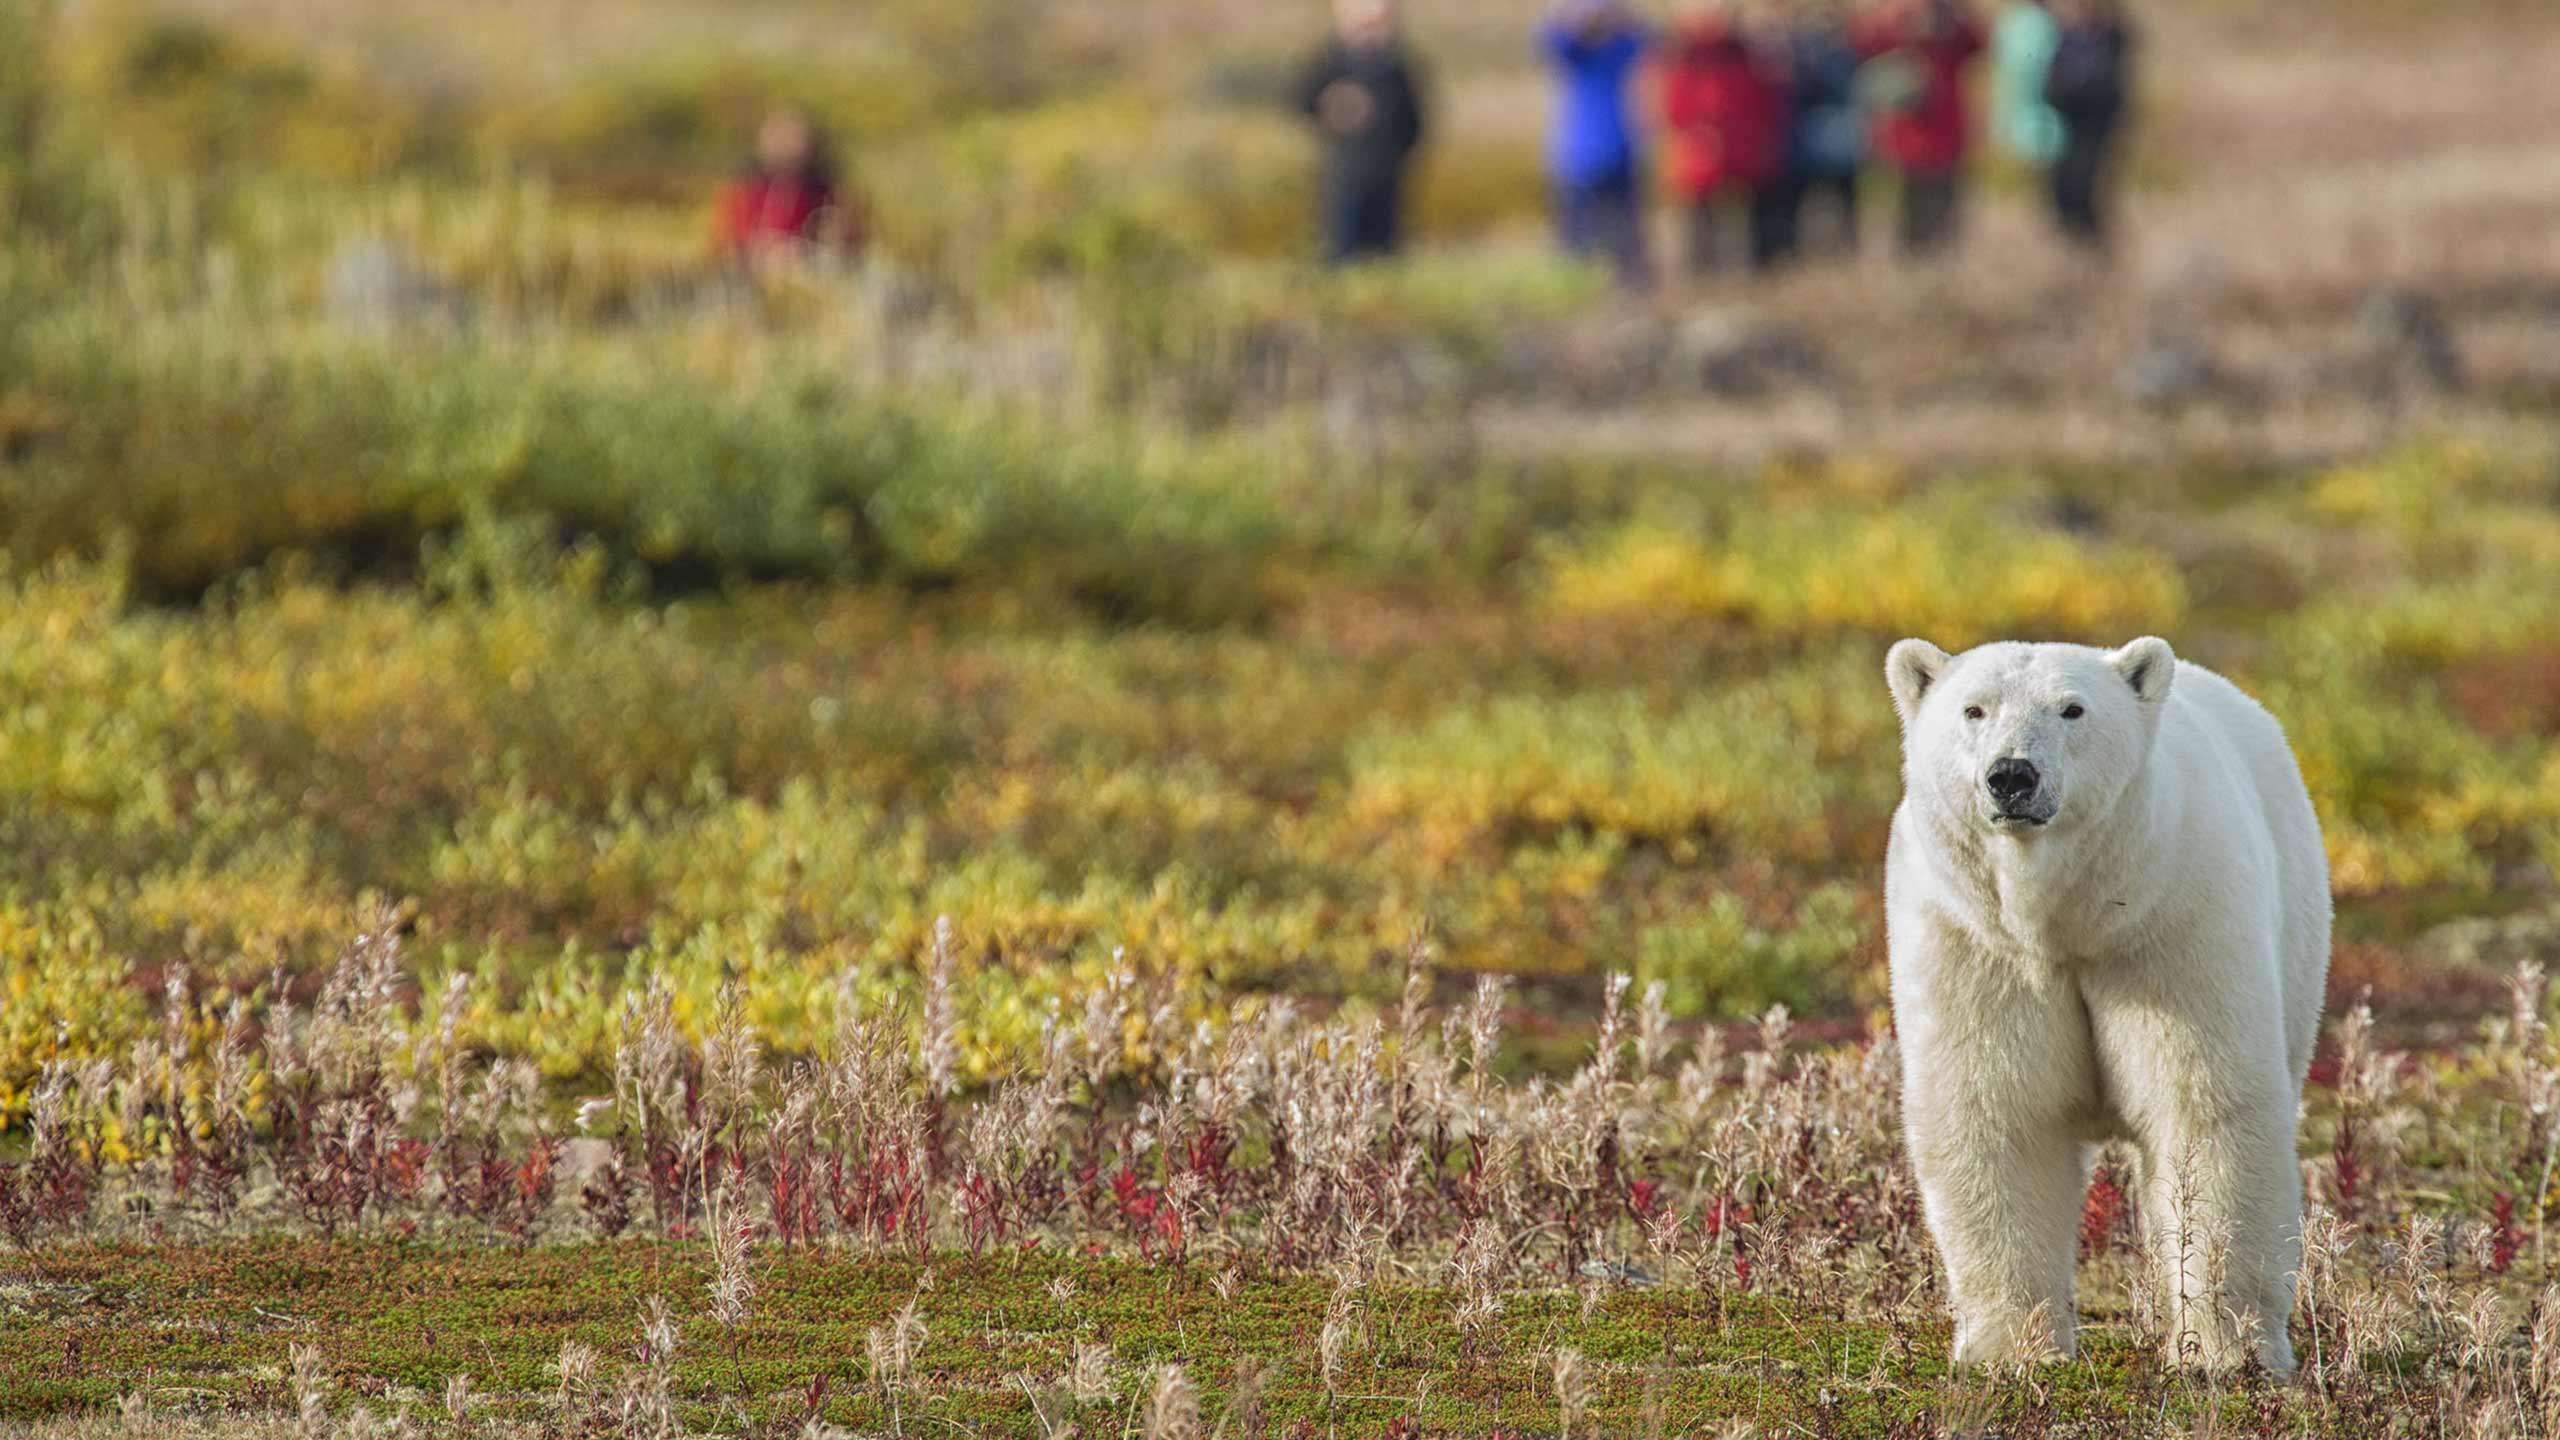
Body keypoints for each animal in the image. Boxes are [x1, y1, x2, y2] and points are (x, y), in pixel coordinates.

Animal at [1894, 635, 2334, 1363]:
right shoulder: (1977, 944)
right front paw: (2012, 1350)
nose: (2011, 776)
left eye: (2072, 709)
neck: (2069, 922)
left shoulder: (2171, 926)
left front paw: (2225, 1348)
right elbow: (1997, 1111)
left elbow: (2203, 1110)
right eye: (1974, 709)